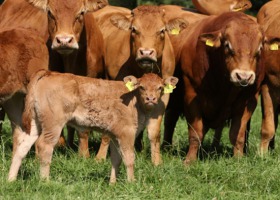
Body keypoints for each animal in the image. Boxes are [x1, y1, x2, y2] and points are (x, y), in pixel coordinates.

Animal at [8, 70, 178, 183]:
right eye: (141, 87)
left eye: (160, 87)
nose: (151, 98)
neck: (135, 102)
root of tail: (50, 72)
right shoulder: (126, 133)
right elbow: (129, 158)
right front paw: (132, 183)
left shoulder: (114, 135)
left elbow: (116, 159)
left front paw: (112, 184)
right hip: (53, 124)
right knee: (44, 146)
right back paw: (46, 181)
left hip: (34, 123)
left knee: (22, 147)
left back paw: (11, 179)